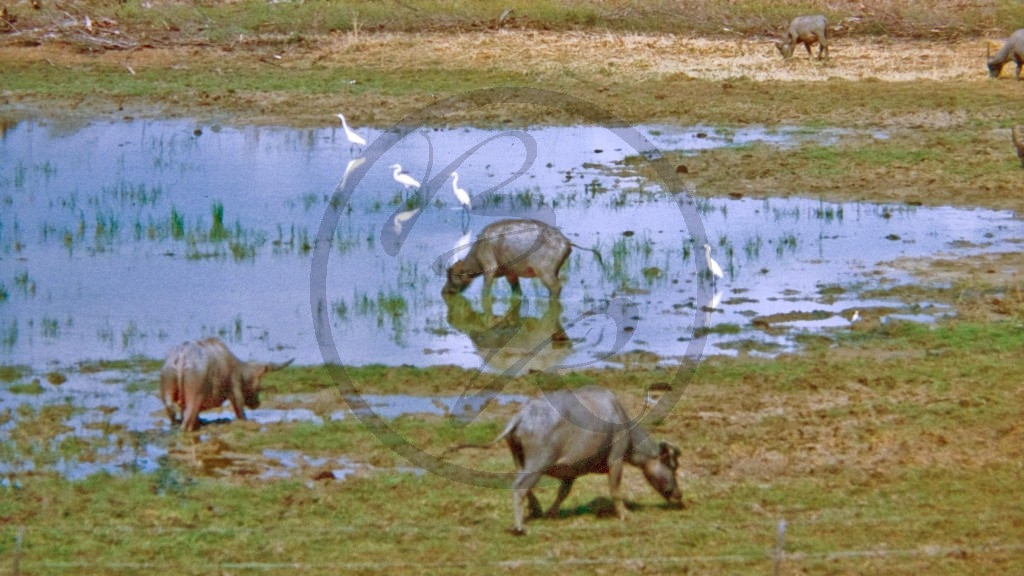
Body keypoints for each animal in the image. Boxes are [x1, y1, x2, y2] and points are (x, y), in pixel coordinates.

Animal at [157, 336, 292, 430]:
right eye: (258, 384)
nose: (257, 403)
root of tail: (182, 357)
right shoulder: (236, 392)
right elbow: (240, 411)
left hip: (168, 390)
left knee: (172, 412)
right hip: (194, 398)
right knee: (186, 423)